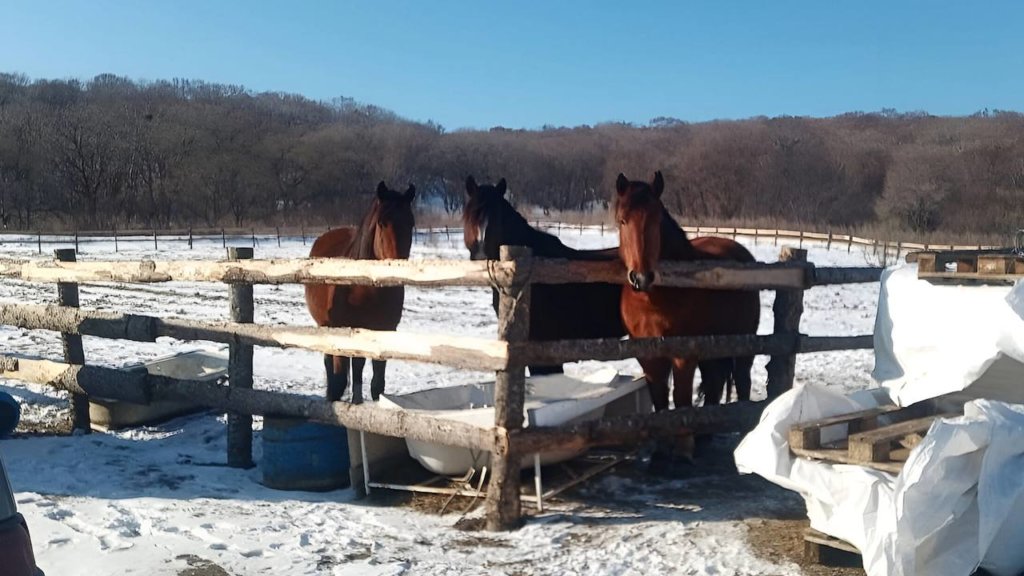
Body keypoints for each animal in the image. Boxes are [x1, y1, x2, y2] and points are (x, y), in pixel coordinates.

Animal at [305, 181, 416, 403]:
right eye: (382, 223)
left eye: (411, 223)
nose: (397, 269)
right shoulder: (339, 331)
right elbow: (338, 380)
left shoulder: (384, 331)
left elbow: (377, 385)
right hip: (326, 326)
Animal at [615, 171, 761, 412]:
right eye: (622, 220)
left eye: (656, 220)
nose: (642, 278)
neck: (652, 303)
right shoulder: (650, 359)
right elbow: (661, 402)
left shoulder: (684, 357)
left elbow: (682, 401)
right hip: (712, 353)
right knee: (714, 386)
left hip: (743, 346)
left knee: (742, 382)